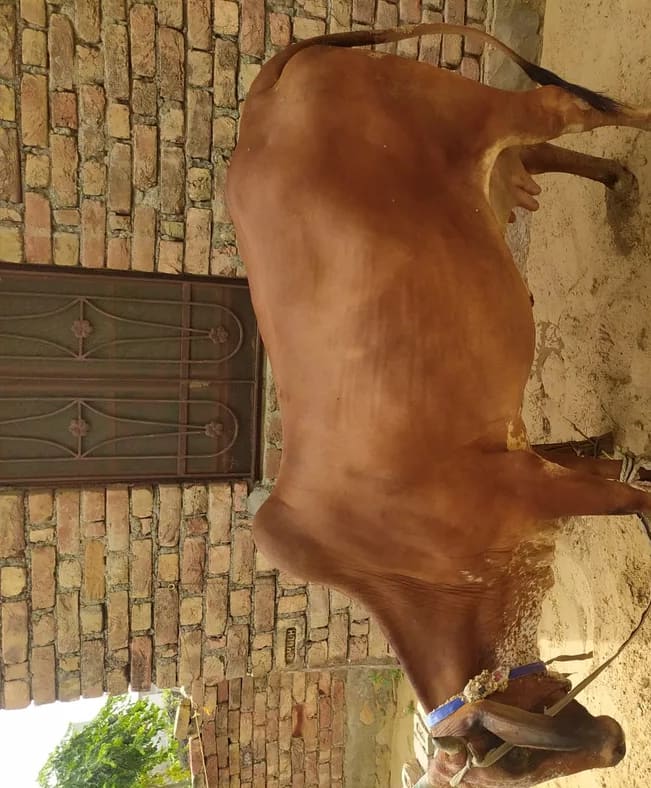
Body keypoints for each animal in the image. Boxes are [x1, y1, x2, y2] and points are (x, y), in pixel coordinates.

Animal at [226, 23, 651, 787]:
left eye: (510, 762)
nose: (615, 744)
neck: (413, 569)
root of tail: (268, 87)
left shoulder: (531, 488)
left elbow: (637, 498)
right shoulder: (528, 455)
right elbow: (615, 466)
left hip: (484, 111)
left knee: (567, 109)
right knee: (547, 147)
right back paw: (619, 183)